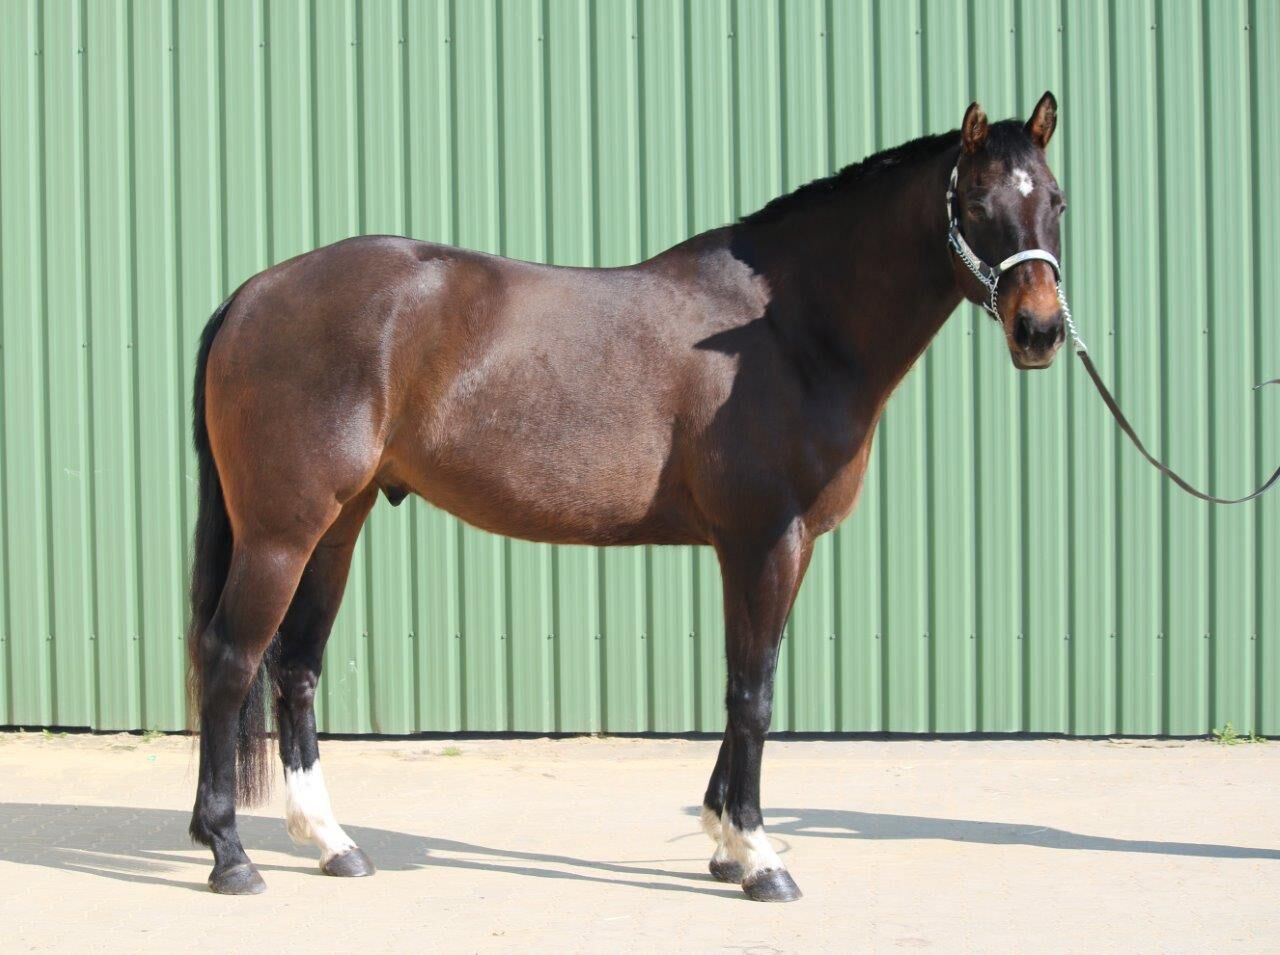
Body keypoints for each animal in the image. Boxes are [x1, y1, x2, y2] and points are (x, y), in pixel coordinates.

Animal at [187, 93, 1067, 902]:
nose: (1042, 330)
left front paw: (722, 840)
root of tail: (253, 292)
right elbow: (754, 696)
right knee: (230, 659)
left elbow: (742, 684)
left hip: (339, 524)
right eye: (976, 201)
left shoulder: (774, 547)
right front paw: (761, 859)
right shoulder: (765, 541)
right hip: (280, 532)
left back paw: (333, 841)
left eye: (1054, 198)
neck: (785, 330)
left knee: (296, 667)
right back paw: (230, 853)